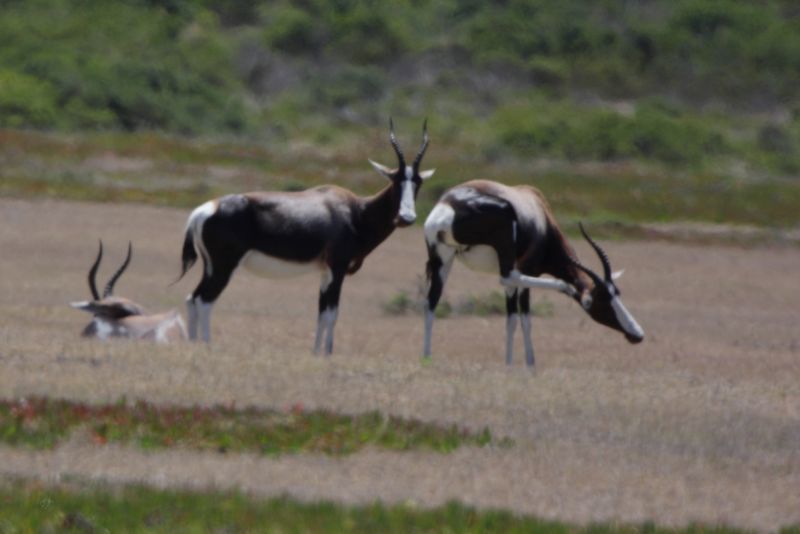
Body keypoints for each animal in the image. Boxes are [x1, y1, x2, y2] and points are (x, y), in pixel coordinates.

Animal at [178, 122, 434, 356]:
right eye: (395, 180)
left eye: (418, 182)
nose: (407, 217)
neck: (355, 211)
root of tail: (203, 210)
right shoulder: (337, 269)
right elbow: (332, 313)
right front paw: (328, 354)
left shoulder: (324, 273)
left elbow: (321, 313)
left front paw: (316, 353)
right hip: (224, 266)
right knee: (205, 300)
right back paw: (207, 346)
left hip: (210, 267)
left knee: (192, 298)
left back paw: (193, 345)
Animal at [424, 180, 644, 368]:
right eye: (602, 300)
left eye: (617, 293)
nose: (637, 334)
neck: (540, 214)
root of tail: (448, 205)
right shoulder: (526, 271)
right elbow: (526, 319)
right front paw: (530, 366)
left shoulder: (513, 286)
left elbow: (511, 319)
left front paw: (508, 364)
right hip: (501, 254)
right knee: (506, 276)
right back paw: (563, 286)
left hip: (443, 259)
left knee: (432, 299)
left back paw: (425, 358)